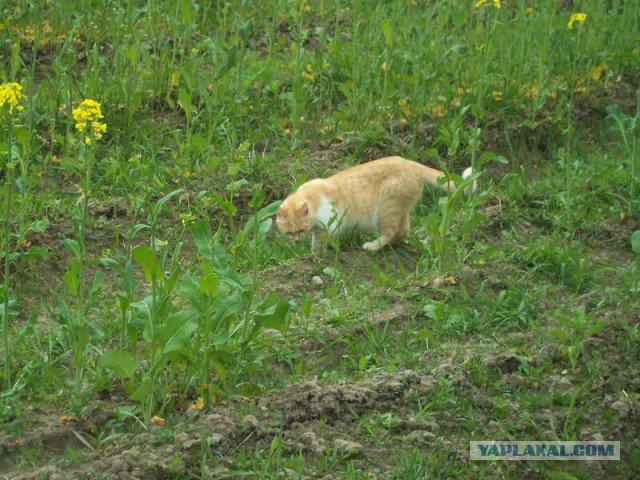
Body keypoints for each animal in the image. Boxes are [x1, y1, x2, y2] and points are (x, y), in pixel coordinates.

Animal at [276, 157, 476, 251]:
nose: (296, 241)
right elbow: (315, 241)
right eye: (289, 233)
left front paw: (317, 255)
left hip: (386, 212)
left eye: (300, 230)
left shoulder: (330, 226)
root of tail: (411, 164)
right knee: (403, 230)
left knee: (392, 231)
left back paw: (372, 246)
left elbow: (322, 242)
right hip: (400, 210)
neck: (312, 197)